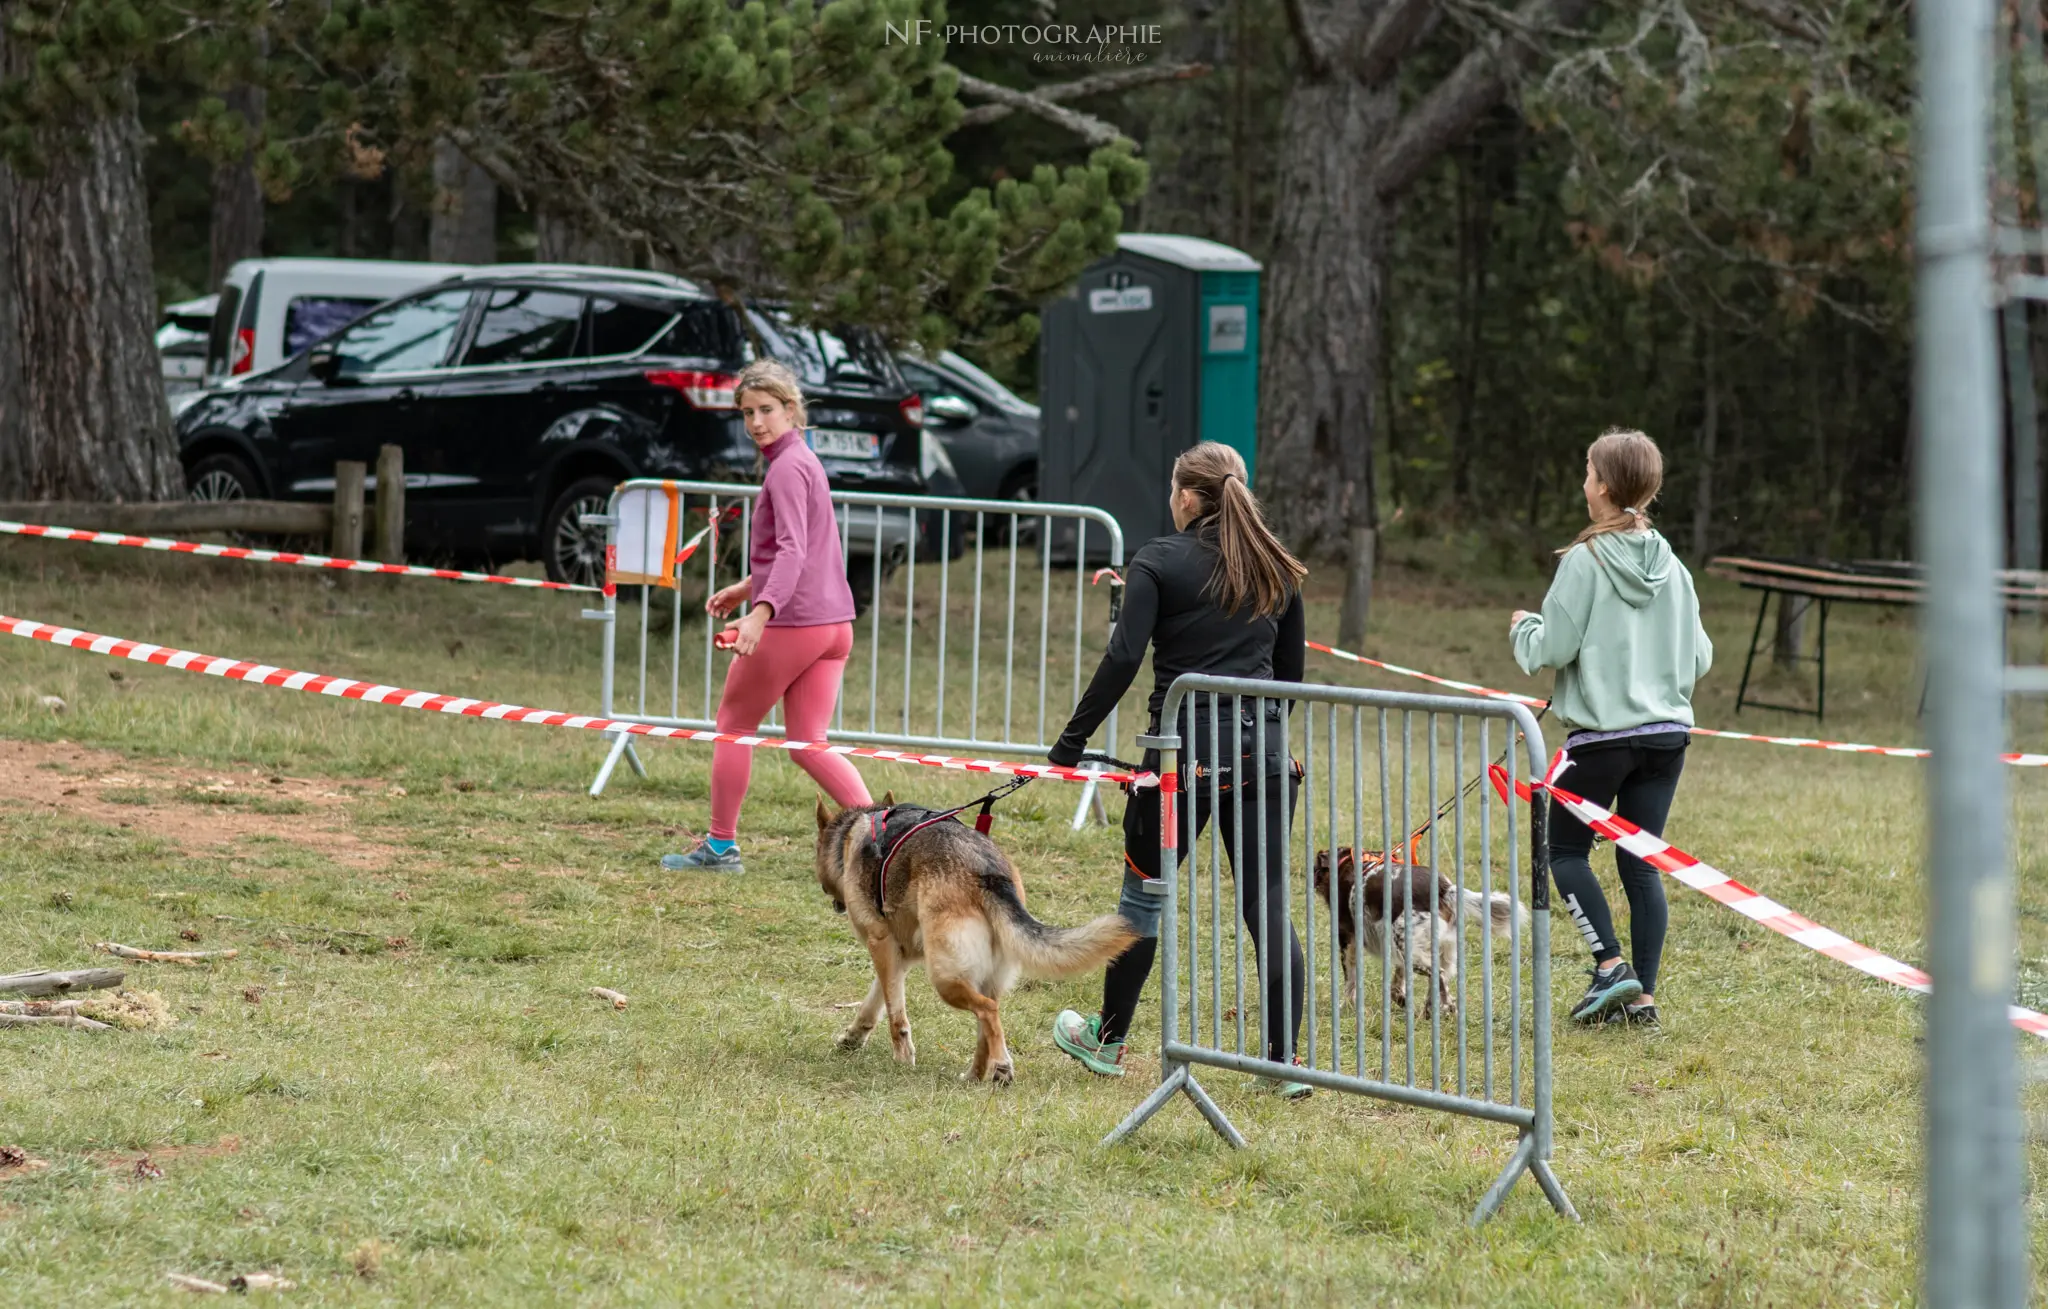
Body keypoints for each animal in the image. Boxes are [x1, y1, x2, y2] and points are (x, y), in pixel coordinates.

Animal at [815, 798, 1138, 1081]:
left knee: (987, 1011)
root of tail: (988, 873)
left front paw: (902, 1058)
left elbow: (896, 1015)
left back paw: (1002, 1067)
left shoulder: (880, 944)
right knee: (986, 1023)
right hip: (982, 976)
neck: (853, 835)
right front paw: (853, 1037)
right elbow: (876, 1002)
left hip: (945, 977)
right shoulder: (898, 956)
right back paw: (976, 1074)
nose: (835, 904)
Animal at [1310, 852, 1523, 1024]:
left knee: (1439, 976)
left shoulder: (1348, 941)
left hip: (1410, 950)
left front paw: (1346, 1006)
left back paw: (1448, 1007)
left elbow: (1350, 982)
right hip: (1430, 948)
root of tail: (1444, 889)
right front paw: (1401, 999)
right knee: (1437, 979)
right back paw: (1429, 1012)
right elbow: (1397, 984)